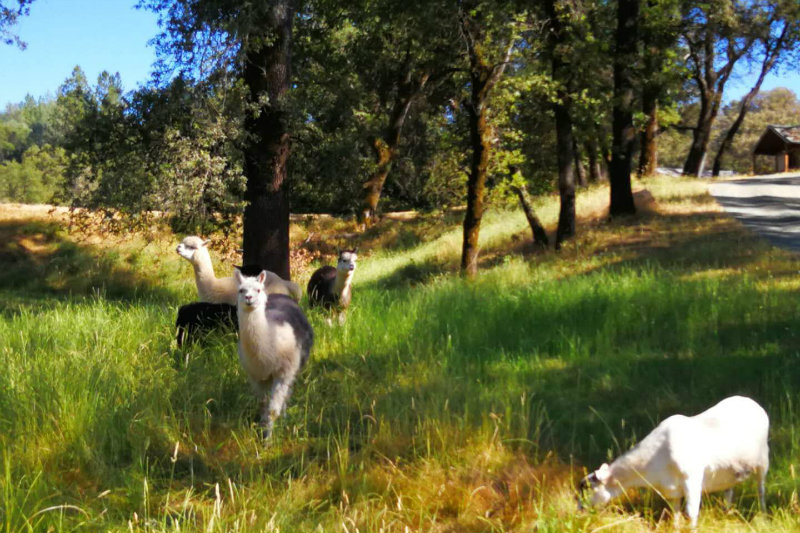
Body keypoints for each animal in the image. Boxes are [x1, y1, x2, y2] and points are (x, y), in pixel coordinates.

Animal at [234, 268, 312, 438]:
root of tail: (280, 295)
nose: (248, 298)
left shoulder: (283, 373)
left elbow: (272, 410)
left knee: (288, 393)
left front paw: (268, 439)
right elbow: (263, 406)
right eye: (241, 290)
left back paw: (285, 416)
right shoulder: (257, 377)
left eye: (258, 289)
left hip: (294, 366)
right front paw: (262, 431)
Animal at [580, 394, 768, 528]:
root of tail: (752, 402)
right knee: (729, 490)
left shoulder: (692, 479)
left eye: (589, 488)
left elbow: (691, 513)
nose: (579, 511)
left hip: (763, 460)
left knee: (760, 489)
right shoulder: (672, 490)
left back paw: (763, 512)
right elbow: (675, 513)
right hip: (730, 470)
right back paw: (726, 512)